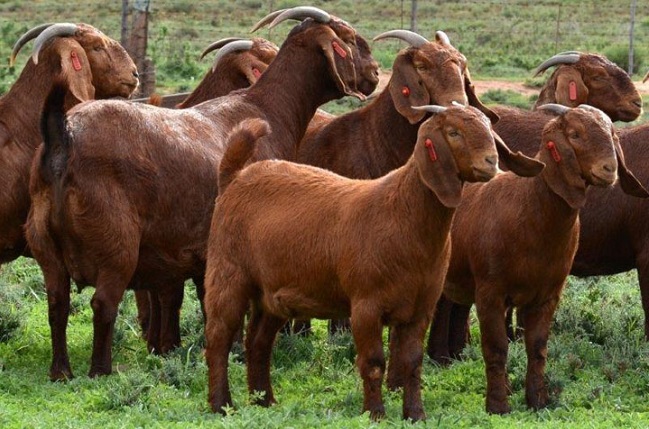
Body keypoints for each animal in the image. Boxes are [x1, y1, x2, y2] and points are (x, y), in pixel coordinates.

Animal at [25, 6, 378, 381]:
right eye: (349, 38)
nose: (374, 73)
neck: (267, 110)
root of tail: (63, 135)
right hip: (115, 245)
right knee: (103, 304)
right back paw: (100, 370)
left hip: (45, 247)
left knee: (57, 303)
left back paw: (61, 371)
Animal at [203, 105, 542, 421]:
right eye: (453, 132)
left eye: (489, 129)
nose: (490, 163)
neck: (402, 213)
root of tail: (235, 177)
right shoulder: (365, 305)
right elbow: (374, 362)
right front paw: (375, 413)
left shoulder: (420, 308)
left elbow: (411, 362)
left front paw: (415, 414)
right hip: (228, 274)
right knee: (219, 337)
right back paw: (222, 405)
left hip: (271, 295)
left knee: (258, 342)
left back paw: (264, 401)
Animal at [438, 104, 647, 414]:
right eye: (574, 134)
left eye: (612, 135)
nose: (609, 169)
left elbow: (536, 347)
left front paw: (536, 400)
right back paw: (439, 358)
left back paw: (453, 355)